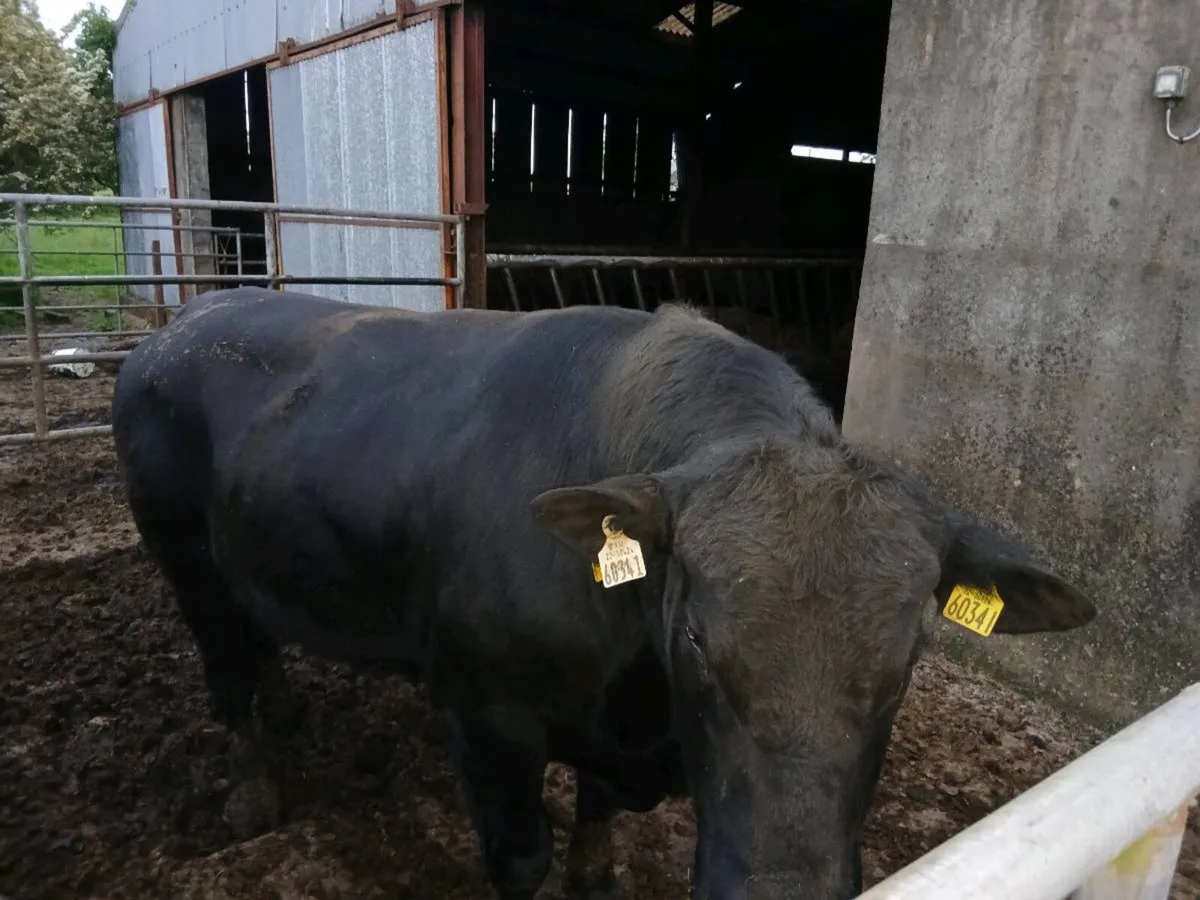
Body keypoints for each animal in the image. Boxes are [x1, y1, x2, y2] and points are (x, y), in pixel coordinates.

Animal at [111, 287, 1096, 900]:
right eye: (696, 638)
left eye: (908, 660)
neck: (639, 705)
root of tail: (191, 314)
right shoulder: (484, 719)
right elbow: (523, 857)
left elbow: (596, 827)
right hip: (181, 556)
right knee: (227, 674)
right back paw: (253, 793)